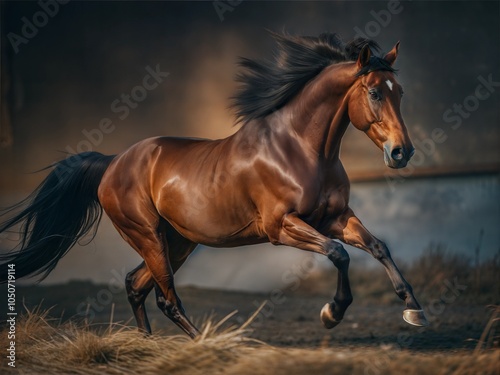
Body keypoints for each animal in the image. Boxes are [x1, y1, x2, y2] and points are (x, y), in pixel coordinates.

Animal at [0, 32, 430, 338]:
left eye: (400, 92)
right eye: (374, 92)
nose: (402, 152)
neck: (301, 150)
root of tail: (112, 162)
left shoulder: (336, 217)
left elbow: (378, 246)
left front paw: (414, 310)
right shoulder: (282, 227)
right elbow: (339, 254)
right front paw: (331, 314)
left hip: (177, 241)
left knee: (136, 285)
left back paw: (147, 344)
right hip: (149, 236)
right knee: (167, 298)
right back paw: (204, 343)